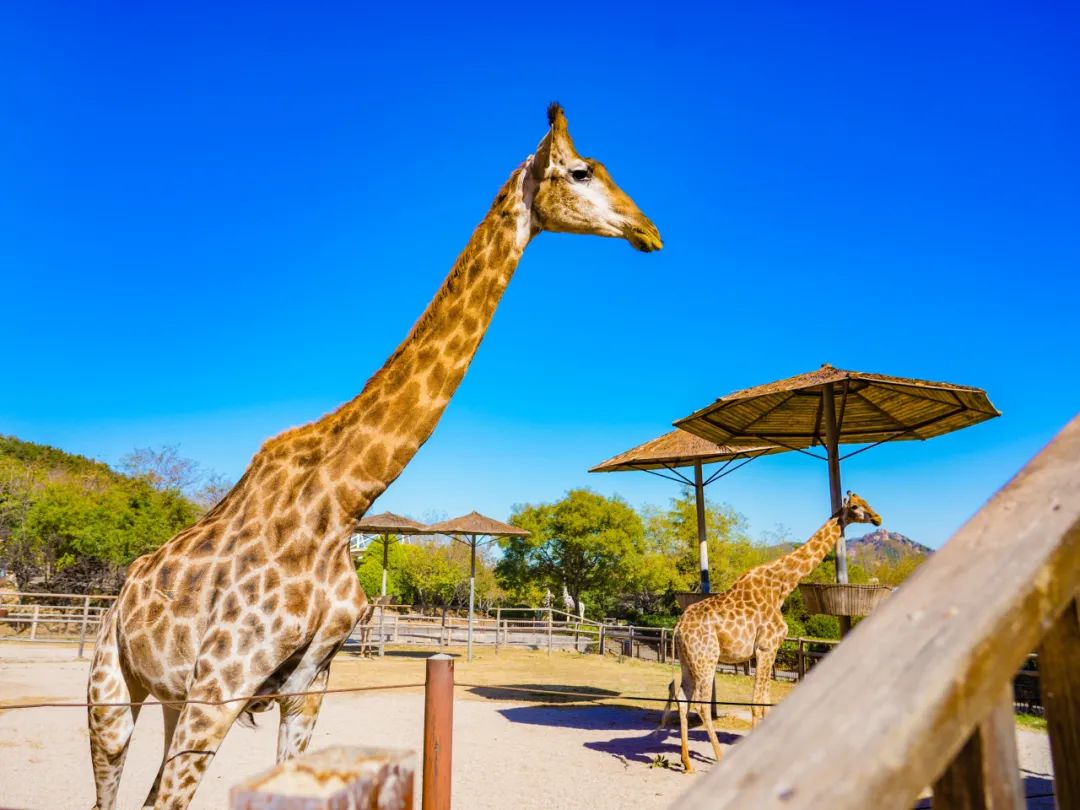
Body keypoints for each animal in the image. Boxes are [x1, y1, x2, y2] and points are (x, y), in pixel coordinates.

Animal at [86, 103, 656, 810]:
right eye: (580, 171)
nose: (649, 230)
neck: (342, 499)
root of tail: (117, 596)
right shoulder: (221, 682)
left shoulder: (307, 689)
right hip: (113, 692)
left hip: (166, 698)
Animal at [656, 488, 876, 773]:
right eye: (857, 507)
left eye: (867, 503)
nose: (878, 519)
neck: (782, 586)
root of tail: (678, 628)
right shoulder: (765, 647)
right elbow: (756, 703)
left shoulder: (771, 649)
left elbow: (767, 704)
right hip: (707, 659)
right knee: (702, 705)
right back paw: (719, 758)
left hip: (687, 660)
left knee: (683, 697)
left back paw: (687, 763)